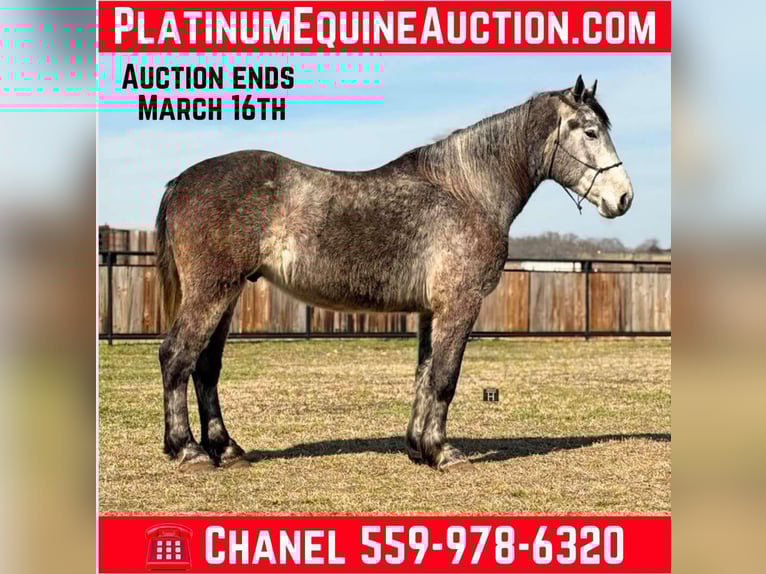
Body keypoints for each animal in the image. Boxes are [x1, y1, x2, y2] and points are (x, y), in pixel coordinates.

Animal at [156, 75, 633, 472]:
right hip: (212, 291)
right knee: (177, 356)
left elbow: (424, 375)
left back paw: (226, 449)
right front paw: (444, 452)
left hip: (227, 293)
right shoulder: (459, 304)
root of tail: (180, 181)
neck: (468, 191)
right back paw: (189, 450)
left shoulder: (430, 311)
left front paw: (419, 447)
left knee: (206, 367)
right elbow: (445, 376)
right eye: (590, 131)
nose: (624, 198)